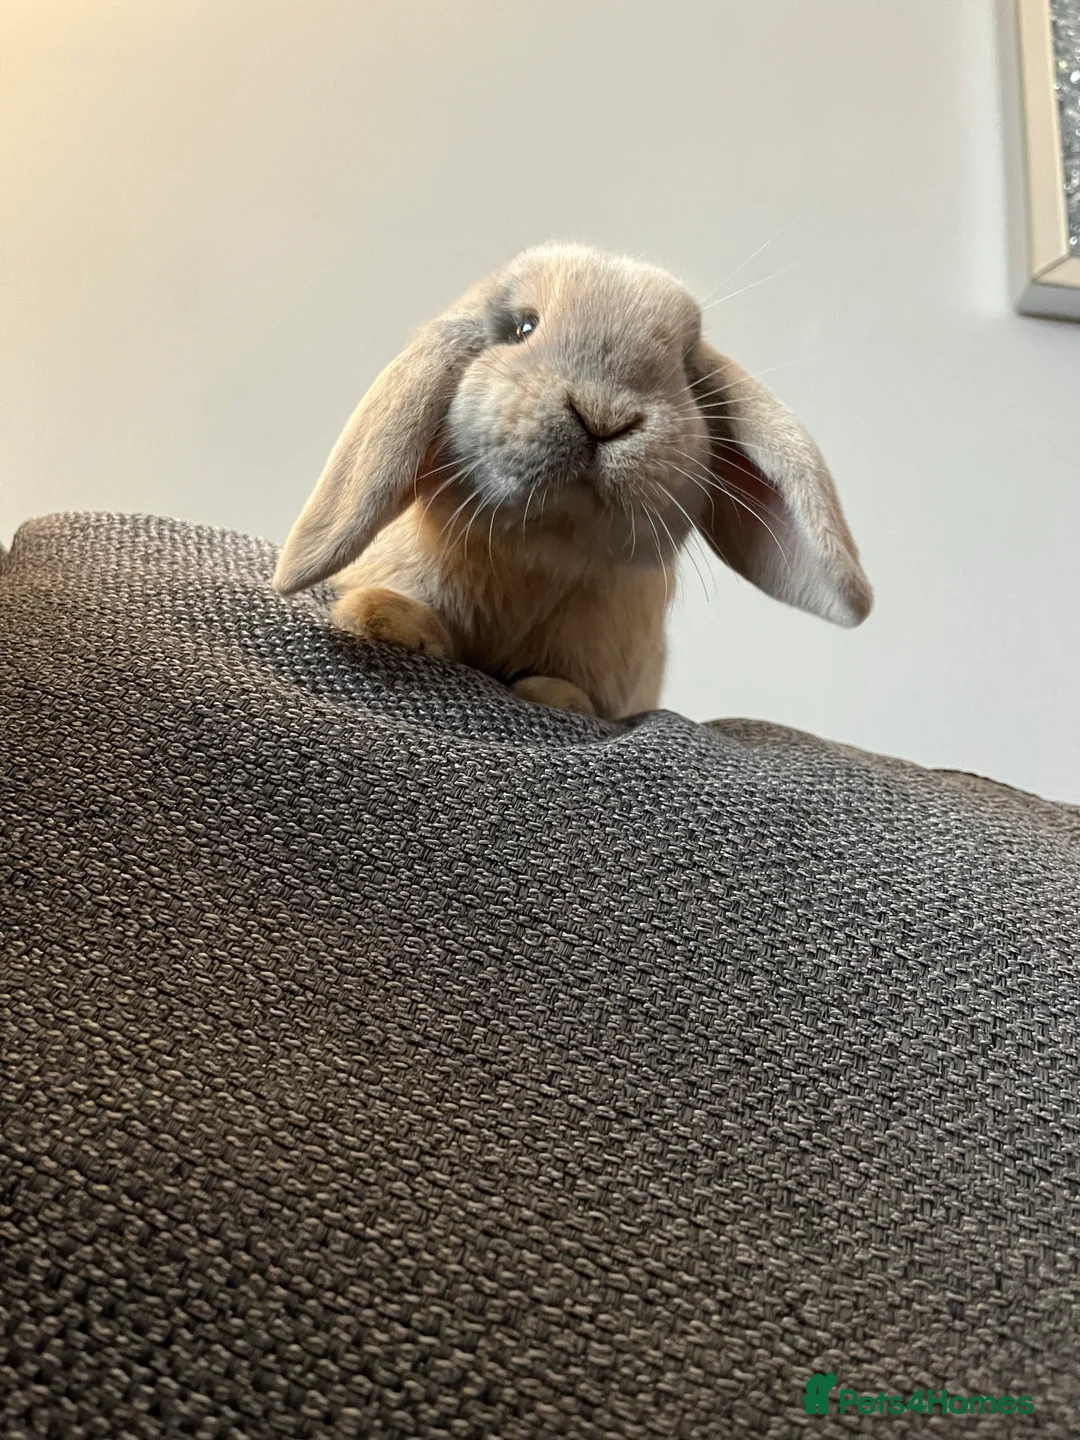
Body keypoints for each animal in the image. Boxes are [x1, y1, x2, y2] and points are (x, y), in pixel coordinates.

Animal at [273, 243, 872, 719]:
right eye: (524, 327)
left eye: (684, 370)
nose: (603, 417)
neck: (544, 547)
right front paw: (388, 620)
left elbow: (573, 691)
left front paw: (555, 694)